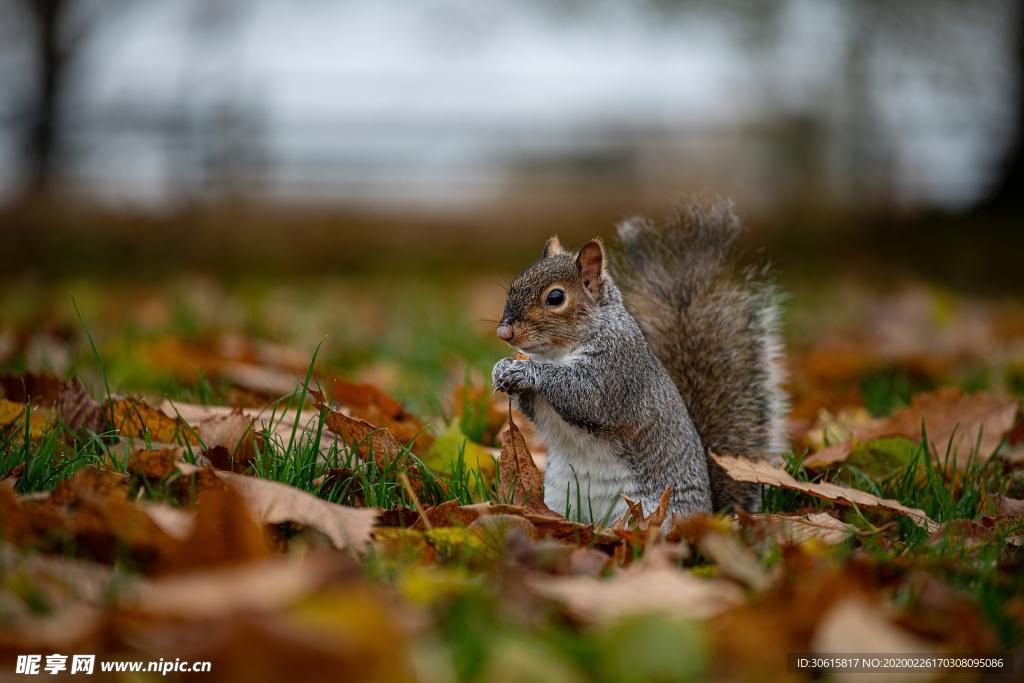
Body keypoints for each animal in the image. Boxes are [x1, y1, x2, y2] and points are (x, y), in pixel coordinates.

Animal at [491, 197, 786, 524]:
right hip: (558, 498)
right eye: (514, 285)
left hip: (659, 512)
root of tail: (710, 514)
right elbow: (533, 409)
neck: (557, 351)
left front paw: (526, 371)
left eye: (555, 298)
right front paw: (501, 368)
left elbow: (585, 394)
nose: (504, 331)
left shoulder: (617, 367)